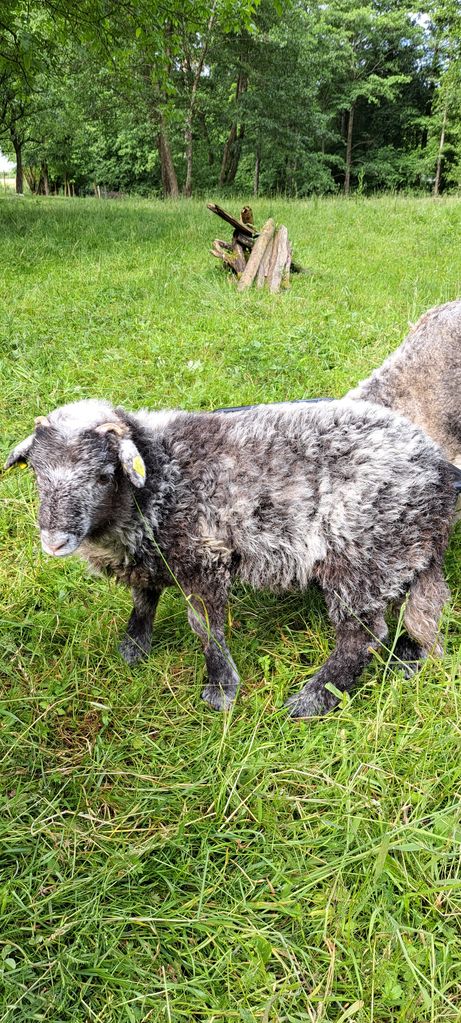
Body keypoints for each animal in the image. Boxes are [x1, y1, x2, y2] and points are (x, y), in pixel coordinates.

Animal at [4, 394, 461, 716]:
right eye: (37, 474)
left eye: (103, 475)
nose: (53, 541)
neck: (162, 475)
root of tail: (437, 469)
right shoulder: (149, 557)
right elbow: (143, 598)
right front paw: (134, 645)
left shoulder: (203, 557)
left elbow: (205, 627)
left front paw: (221, 688)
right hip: (403, 550)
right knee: (420, 610)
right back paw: (409, 658)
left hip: (361, 553)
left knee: (362, 635)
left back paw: (313, 700)